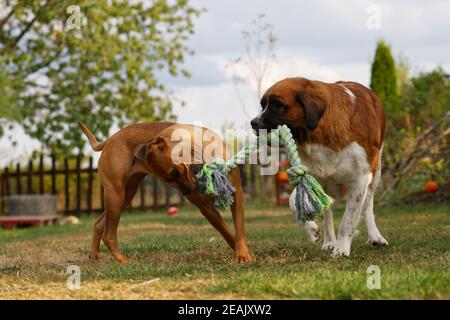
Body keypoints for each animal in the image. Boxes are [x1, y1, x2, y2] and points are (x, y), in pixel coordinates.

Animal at [78, 121, 253, 264]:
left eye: (174, 173)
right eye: (170, 179)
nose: (187, 190)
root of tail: (109, 140)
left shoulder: (235, 194)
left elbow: (237, 229)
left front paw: (243, 253)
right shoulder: (206, 208)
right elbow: (225, 230)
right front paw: (243, 253)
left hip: (125, 195)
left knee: (99, 223)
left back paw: (95, 254)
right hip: (115, 194)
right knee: (109, 234)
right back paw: (122, 259)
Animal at [251, 77, 388, 258]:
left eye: (276, 105)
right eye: (263, 105)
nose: (253, 123)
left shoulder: (361, 179)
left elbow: (348, 219)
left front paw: (341, 249)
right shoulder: (312, 177)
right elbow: (294, 201)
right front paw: (312, 230)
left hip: (376, 170)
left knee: (368, 204)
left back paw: (374, 236)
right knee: (328, 212)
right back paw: (329, 242)